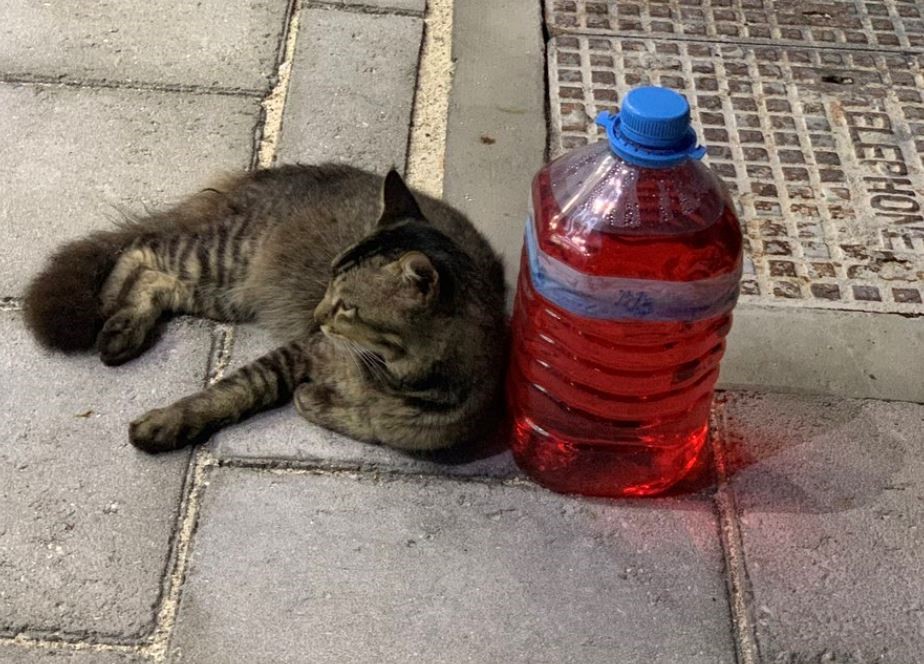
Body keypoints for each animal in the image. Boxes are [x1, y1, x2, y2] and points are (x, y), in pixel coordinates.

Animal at [25, 165, 506, 454]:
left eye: (347, 307)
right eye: (329, 279)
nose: (317, 316)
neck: (392, 376)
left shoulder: (423, 430)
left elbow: (369, 422)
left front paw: (320, 400)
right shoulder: (301, 351)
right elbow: (228, 393)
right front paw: (167, 423)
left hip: (228, 292)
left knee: (157, 282)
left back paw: (125, 326)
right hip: (225, 257)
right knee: (141, 248)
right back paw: (111, 312)